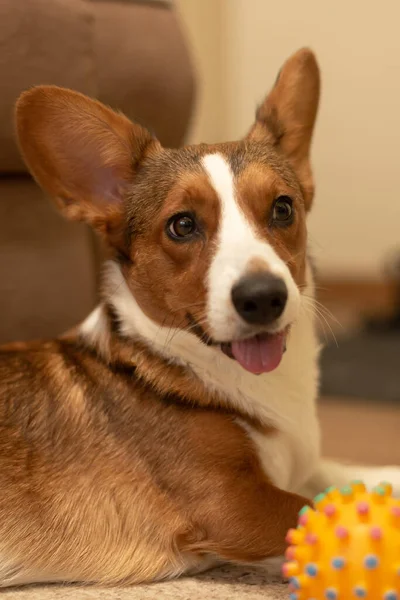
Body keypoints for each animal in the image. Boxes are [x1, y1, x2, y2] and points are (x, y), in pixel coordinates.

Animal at [0, 48, 400, 584]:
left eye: (283, 208)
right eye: (182, 225)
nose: (263, 298)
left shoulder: (304, 466)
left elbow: (353, 474)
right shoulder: (233, 503)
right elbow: (313, 506)